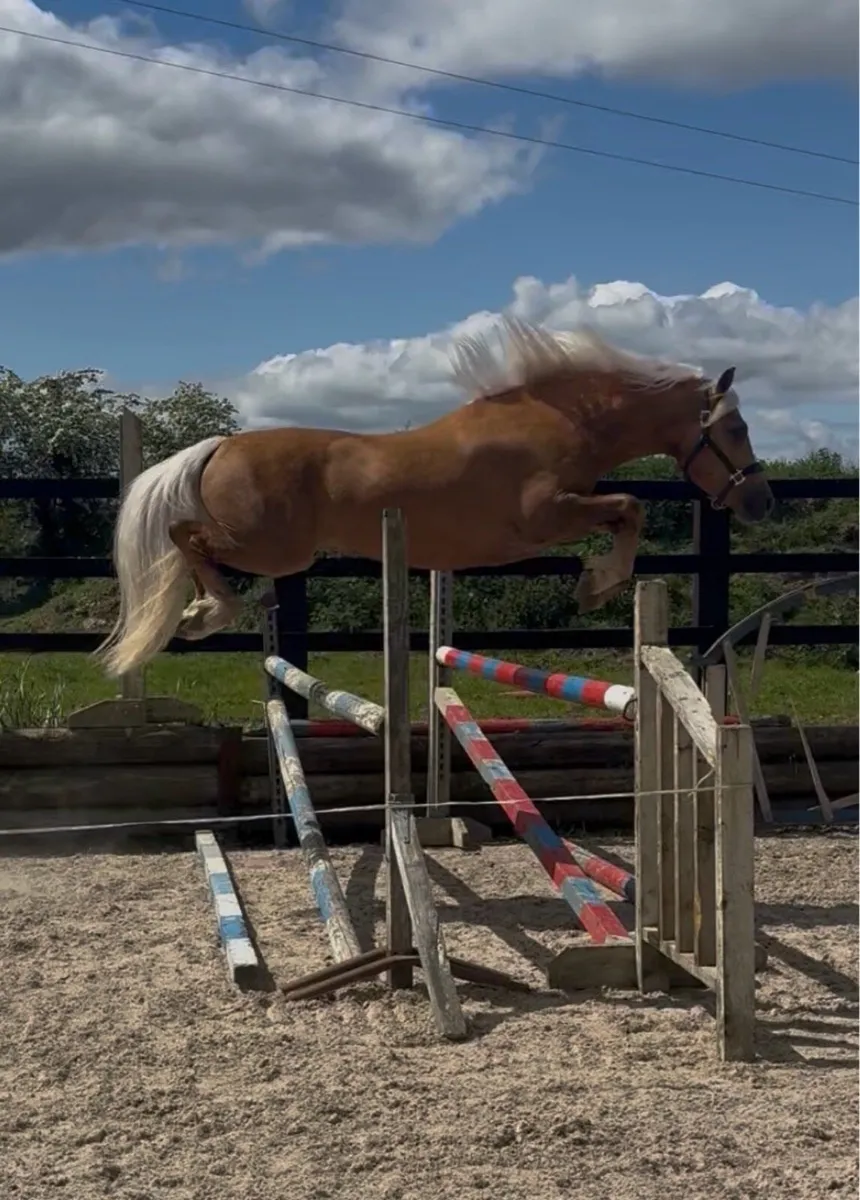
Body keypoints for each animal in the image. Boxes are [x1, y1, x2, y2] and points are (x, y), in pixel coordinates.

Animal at [96, 317, 774, 678]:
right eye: (736, 430)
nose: (760, 502)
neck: (560, 421)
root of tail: (221, 444)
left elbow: (626, 511)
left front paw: (595, 581)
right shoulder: (543, 517)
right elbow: (630, 507)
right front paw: (597, 584)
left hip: (273, 549)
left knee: (188, 542)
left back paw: (201, 611)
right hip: (272, 547)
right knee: (185, 536)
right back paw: (207, 613)